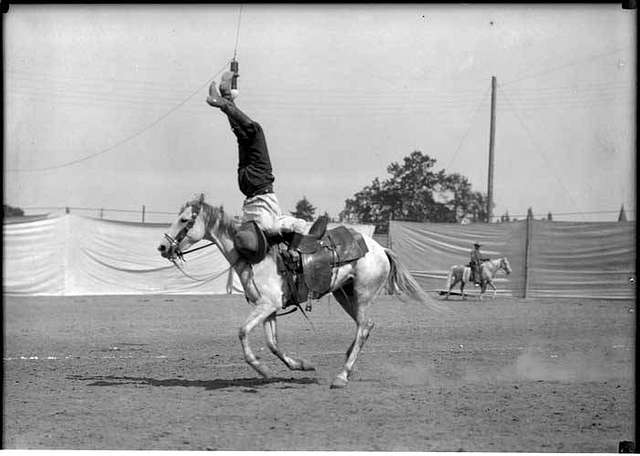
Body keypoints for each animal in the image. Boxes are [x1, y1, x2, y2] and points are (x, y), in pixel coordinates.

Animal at [157, 194, 448, 390]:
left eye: (184, 220)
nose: (162, 247)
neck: (254, 255)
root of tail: (380, 248)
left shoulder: (266, 305)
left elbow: (242, 332)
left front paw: (261, 368)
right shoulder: (270, 309)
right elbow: (273, 344)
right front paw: (300, 365)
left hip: (363, 294)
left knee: (364, 326)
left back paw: (342, 375)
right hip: (345, 295)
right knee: (363, 326)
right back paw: (347, 362)